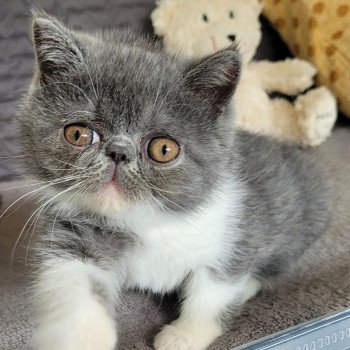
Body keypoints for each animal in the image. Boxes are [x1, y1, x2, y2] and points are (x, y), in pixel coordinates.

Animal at [19, 10, 330, 350]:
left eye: (163, 149)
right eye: (78, 134)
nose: (118, 152)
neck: (148, 221)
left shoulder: (237, 227)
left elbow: (213, 288)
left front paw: (185, 334)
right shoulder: (73, 231)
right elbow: (74, 283)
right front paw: (80, 336)